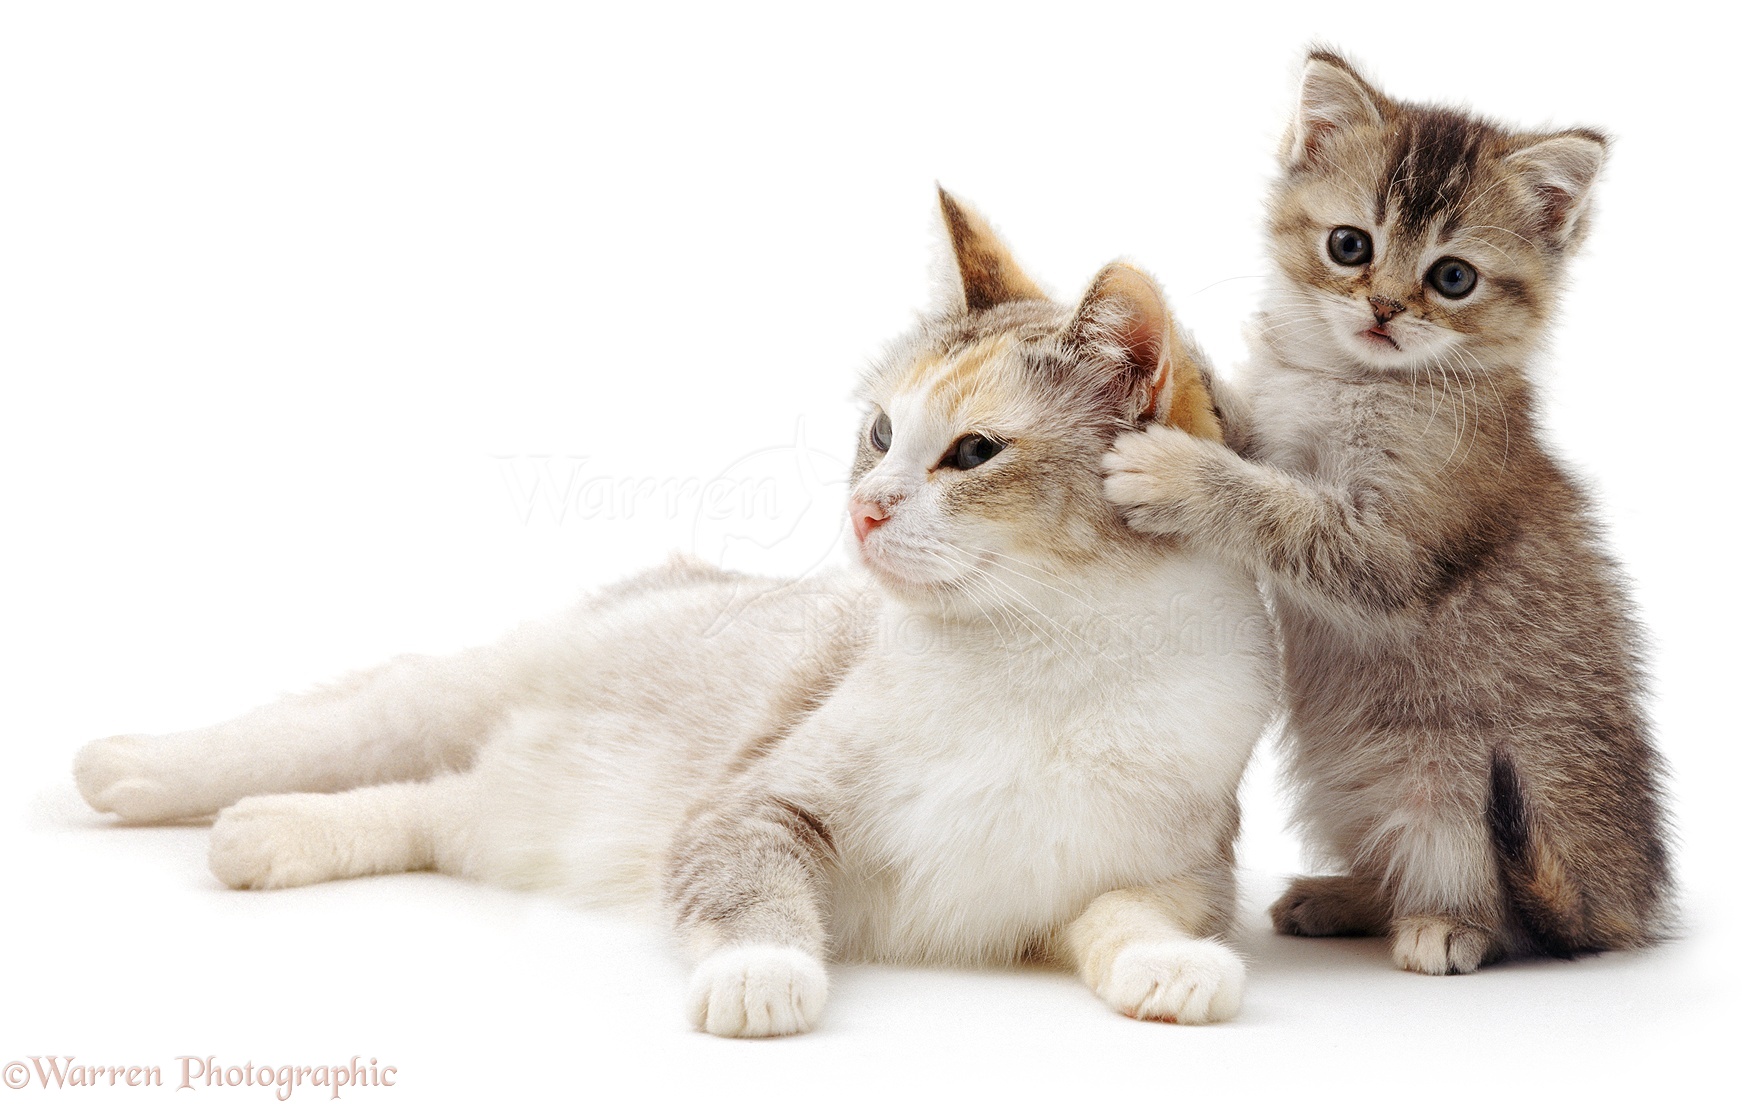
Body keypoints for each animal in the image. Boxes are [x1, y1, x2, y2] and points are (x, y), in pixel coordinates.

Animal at [75, 189, 1277, 1032]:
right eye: (882, 434)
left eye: (974, 452)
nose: (863, 512)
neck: (1049, 660)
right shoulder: (754, 808)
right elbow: (753, 902)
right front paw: (761, 982)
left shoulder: (1164, 875)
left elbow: (1131, 922)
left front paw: (1172, 972)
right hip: (465, 689)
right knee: (335, 728)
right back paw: (130, 770)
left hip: (510, 806)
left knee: (432, 806)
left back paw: (267, 837)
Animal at [1109, 51, 1670, 968]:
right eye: (1349, 246)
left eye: (1452, 277)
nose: (1382, 307)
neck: (1354, 382)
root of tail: (1617, 906)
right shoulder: (1279, 433)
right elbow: (1244, 430)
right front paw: (1177, 355)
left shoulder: (1395, 550)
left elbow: (1283, 514)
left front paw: (1175, 473)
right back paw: (1343, 896)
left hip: (1461, 799)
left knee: (1499, 909)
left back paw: (1446, 925)